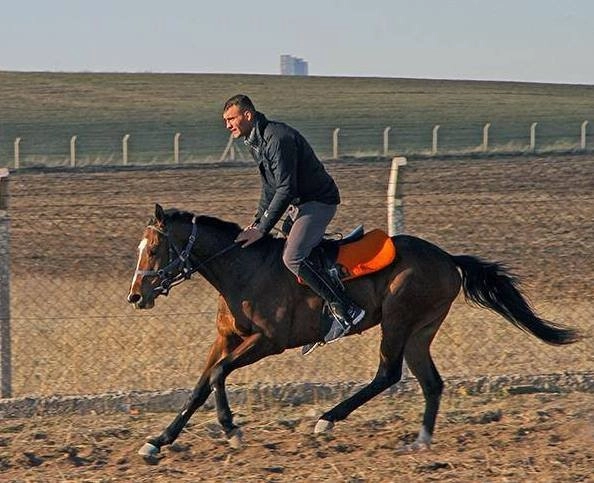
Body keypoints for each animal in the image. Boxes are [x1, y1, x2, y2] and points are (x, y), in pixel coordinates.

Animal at [126, 205, 580, 462]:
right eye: (140, 248)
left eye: (154, 249)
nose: (135, 295)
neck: (242, 268)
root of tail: (447, 258)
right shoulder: (226, 339)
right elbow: (200, 385)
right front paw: (158, 442)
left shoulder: (268, 342)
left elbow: (219, 375)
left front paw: (232, 429)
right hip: (421, 330)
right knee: (431, 383)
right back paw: (420, 441)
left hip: (399, 319)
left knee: (389, 373)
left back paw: (328, 420)